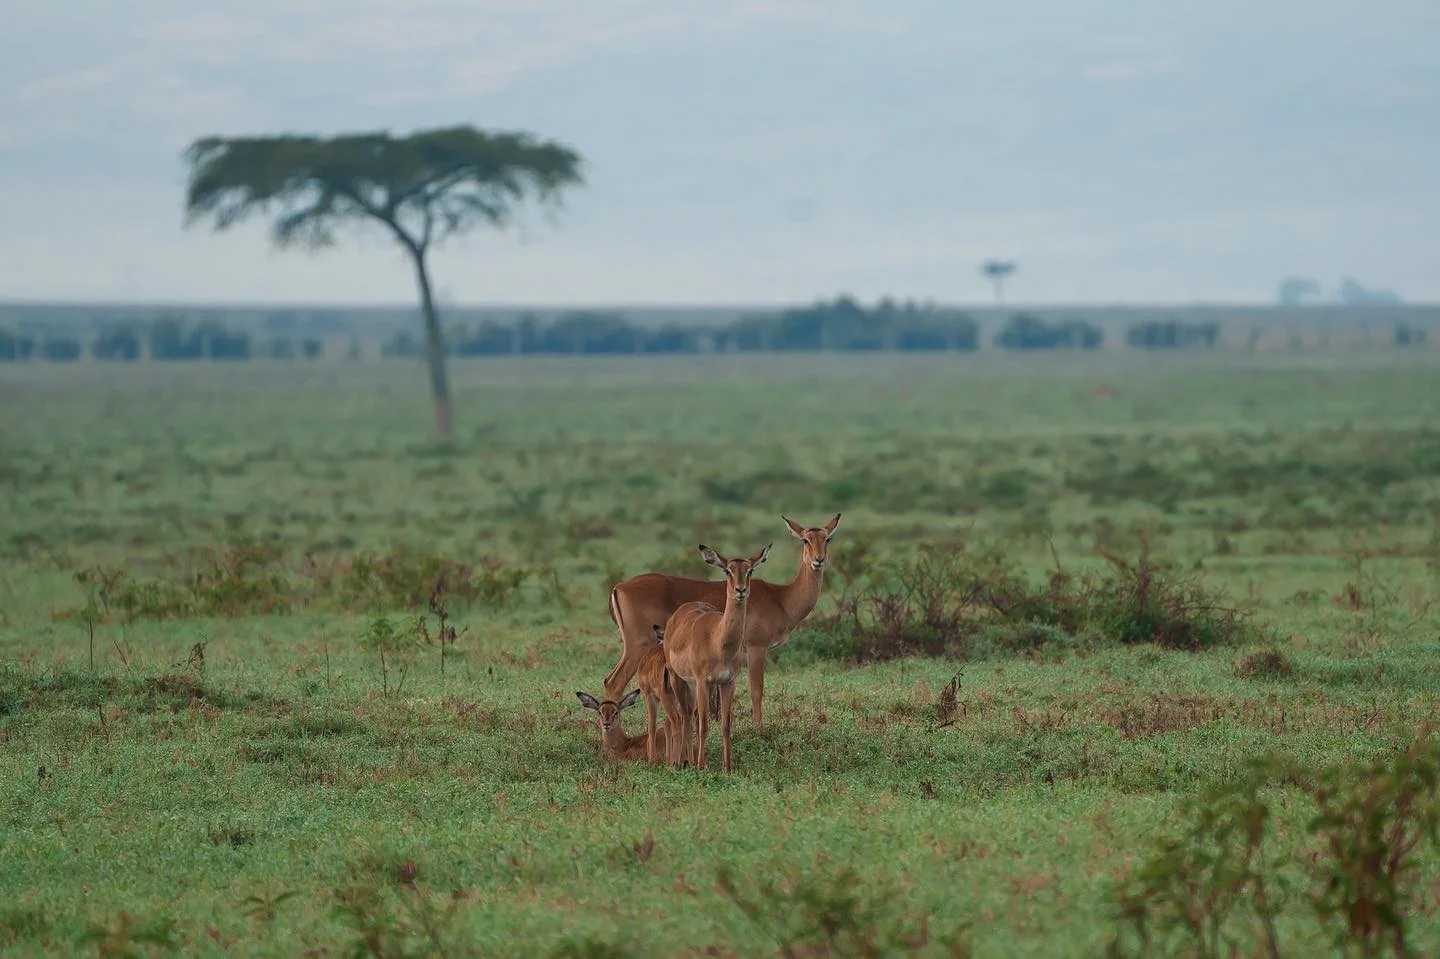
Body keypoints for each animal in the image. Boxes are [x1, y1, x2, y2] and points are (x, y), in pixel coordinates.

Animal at [603, 513, 840, 727]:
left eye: (827, 539)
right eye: (805, 540)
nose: (819, 560)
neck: (781, 598)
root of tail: (619, 586)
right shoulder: (757, 647)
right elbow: (756, 690)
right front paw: (759, 728)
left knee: (608, 680)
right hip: (640, 645)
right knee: (615, 683)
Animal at [662, 543, 770, 772]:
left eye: (750, 570)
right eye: (728, 571)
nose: (741, 590)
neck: (719, 642)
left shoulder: (728, 682)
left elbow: (725, 725)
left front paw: (727, 768)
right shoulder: (704, 681)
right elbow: (703, 725)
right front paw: (701, 766)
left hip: (695, 685)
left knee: (691, 715)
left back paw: (689, 759)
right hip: (678, 679)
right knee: (684, 717)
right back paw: (681, 762)